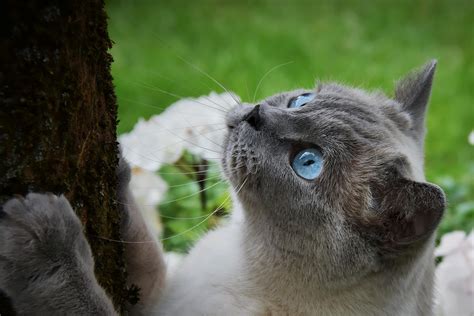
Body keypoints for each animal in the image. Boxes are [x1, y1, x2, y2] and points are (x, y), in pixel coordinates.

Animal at [0, 60, 444, 314]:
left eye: (308, 163)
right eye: (301, 101)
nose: (254, 114)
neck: (243, 257)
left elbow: (79, 298)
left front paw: (42, 237)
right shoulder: (156, 299)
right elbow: (140, 243)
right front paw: (115, 159)